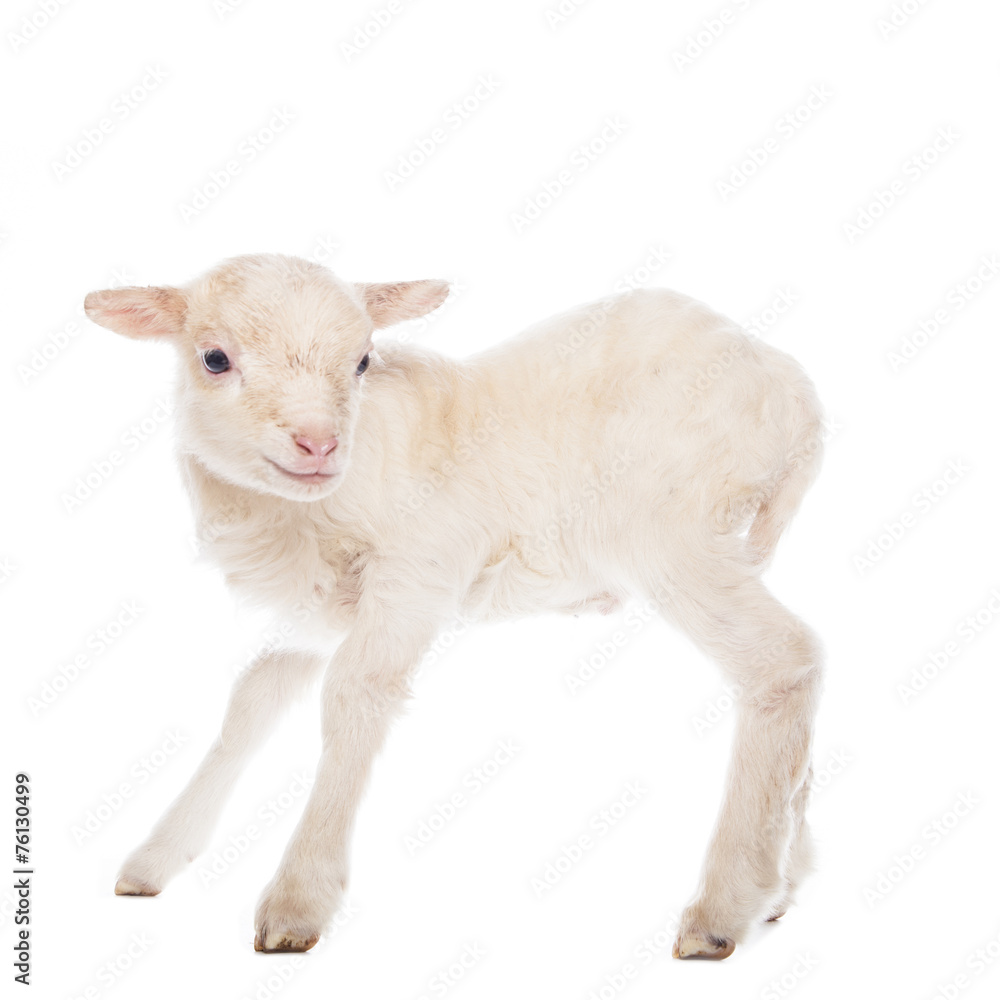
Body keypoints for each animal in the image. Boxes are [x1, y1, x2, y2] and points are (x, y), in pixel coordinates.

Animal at [84, 253, 824, 960]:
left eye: (362, 360)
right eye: (214, 358)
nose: (320, 444)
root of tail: (794, 390)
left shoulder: (418, 573)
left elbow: (354, 694)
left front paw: (298, 901)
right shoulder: (322, 610)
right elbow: (253, 700)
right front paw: (155, 858)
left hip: (668, 534)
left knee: (783, 660)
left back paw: (723, 910)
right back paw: (782, 885)